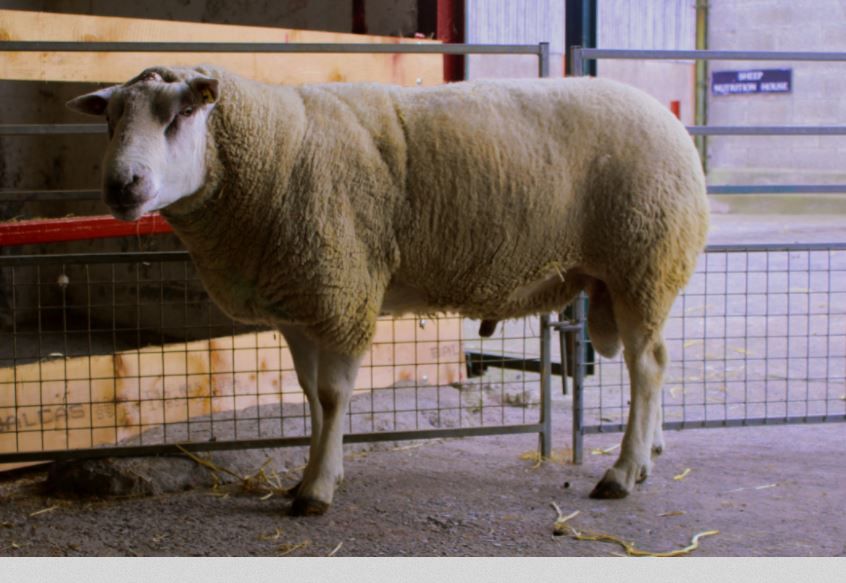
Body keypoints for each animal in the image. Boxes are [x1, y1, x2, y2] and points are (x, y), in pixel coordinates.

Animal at [67, 65, 709, 516]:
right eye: (109, 121)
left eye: (178, 116)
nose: (122, 185)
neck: (276, 153)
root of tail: (674, 123)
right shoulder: (301, 304)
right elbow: (310, 396)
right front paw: (315, 471)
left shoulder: (343, 289)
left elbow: (332, 396)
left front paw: (316, 491)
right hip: (640, 276)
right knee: (653, 362)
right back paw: (648, 458)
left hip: (642, 259)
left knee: (648, 366)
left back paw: (621, 474)